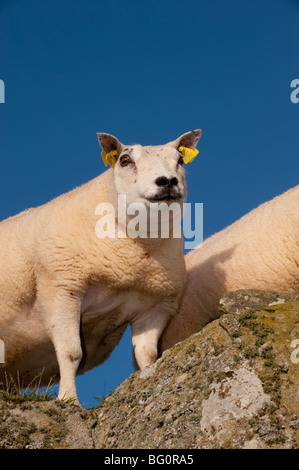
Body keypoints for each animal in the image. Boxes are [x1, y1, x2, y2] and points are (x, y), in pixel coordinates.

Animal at [0, 129, 203, 404]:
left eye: (180, 160)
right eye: (125, 160)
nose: (167, 182)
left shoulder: (155, 306)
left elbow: (148, 354)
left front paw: (147, 382)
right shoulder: (62, 288)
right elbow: (71, 352)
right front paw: (69, 400)